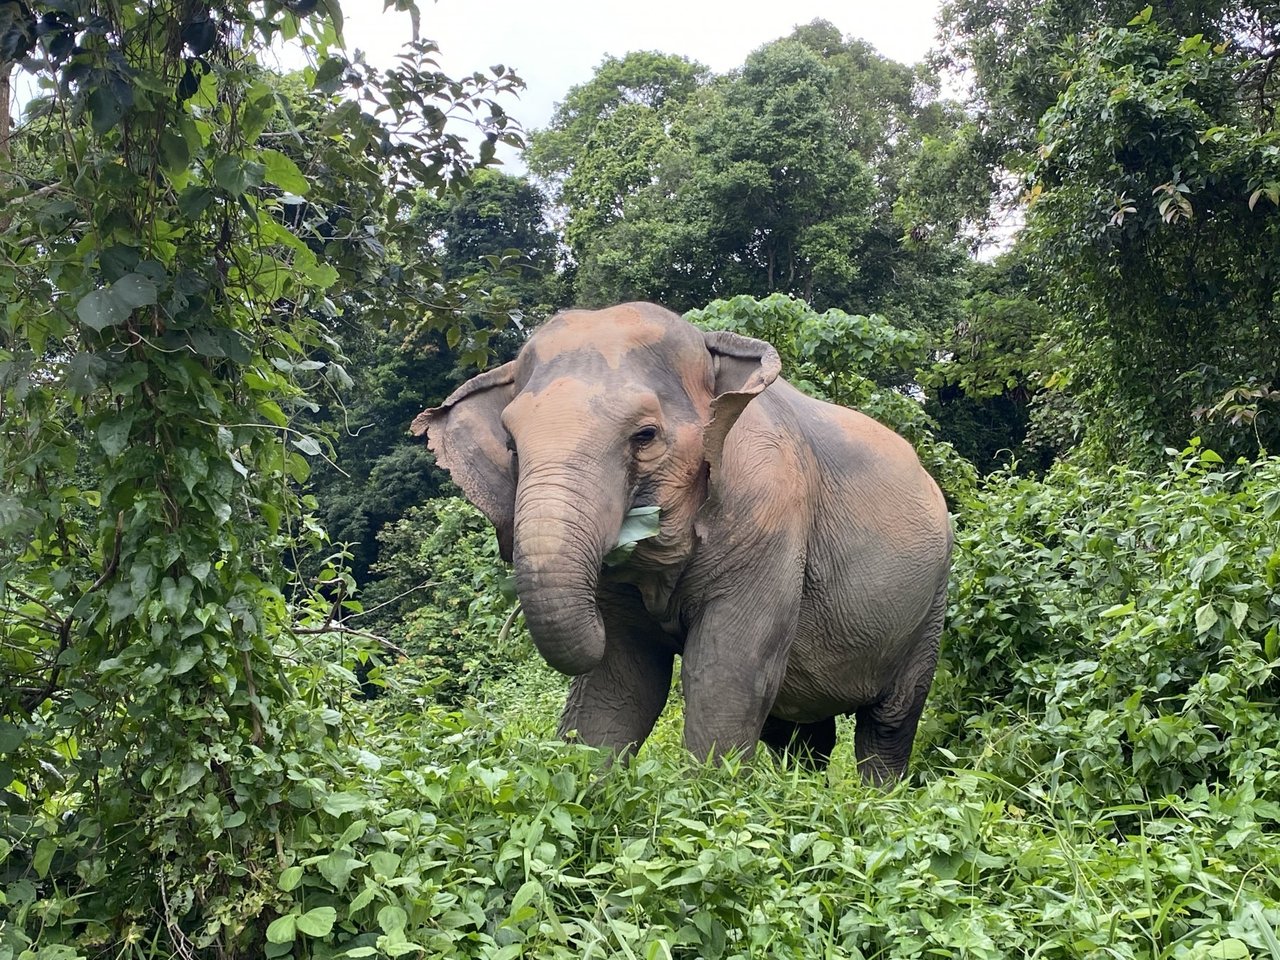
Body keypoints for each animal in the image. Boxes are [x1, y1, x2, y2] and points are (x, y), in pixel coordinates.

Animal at [414, 304, 957, 783]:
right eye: (511, 447)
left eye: (645, 436)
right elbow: (623, 680)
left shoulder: (771, 514)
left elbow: (724, 672)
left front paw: (711, 800)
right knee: (800, 733)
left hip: (933, 601)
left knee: (889, 719)